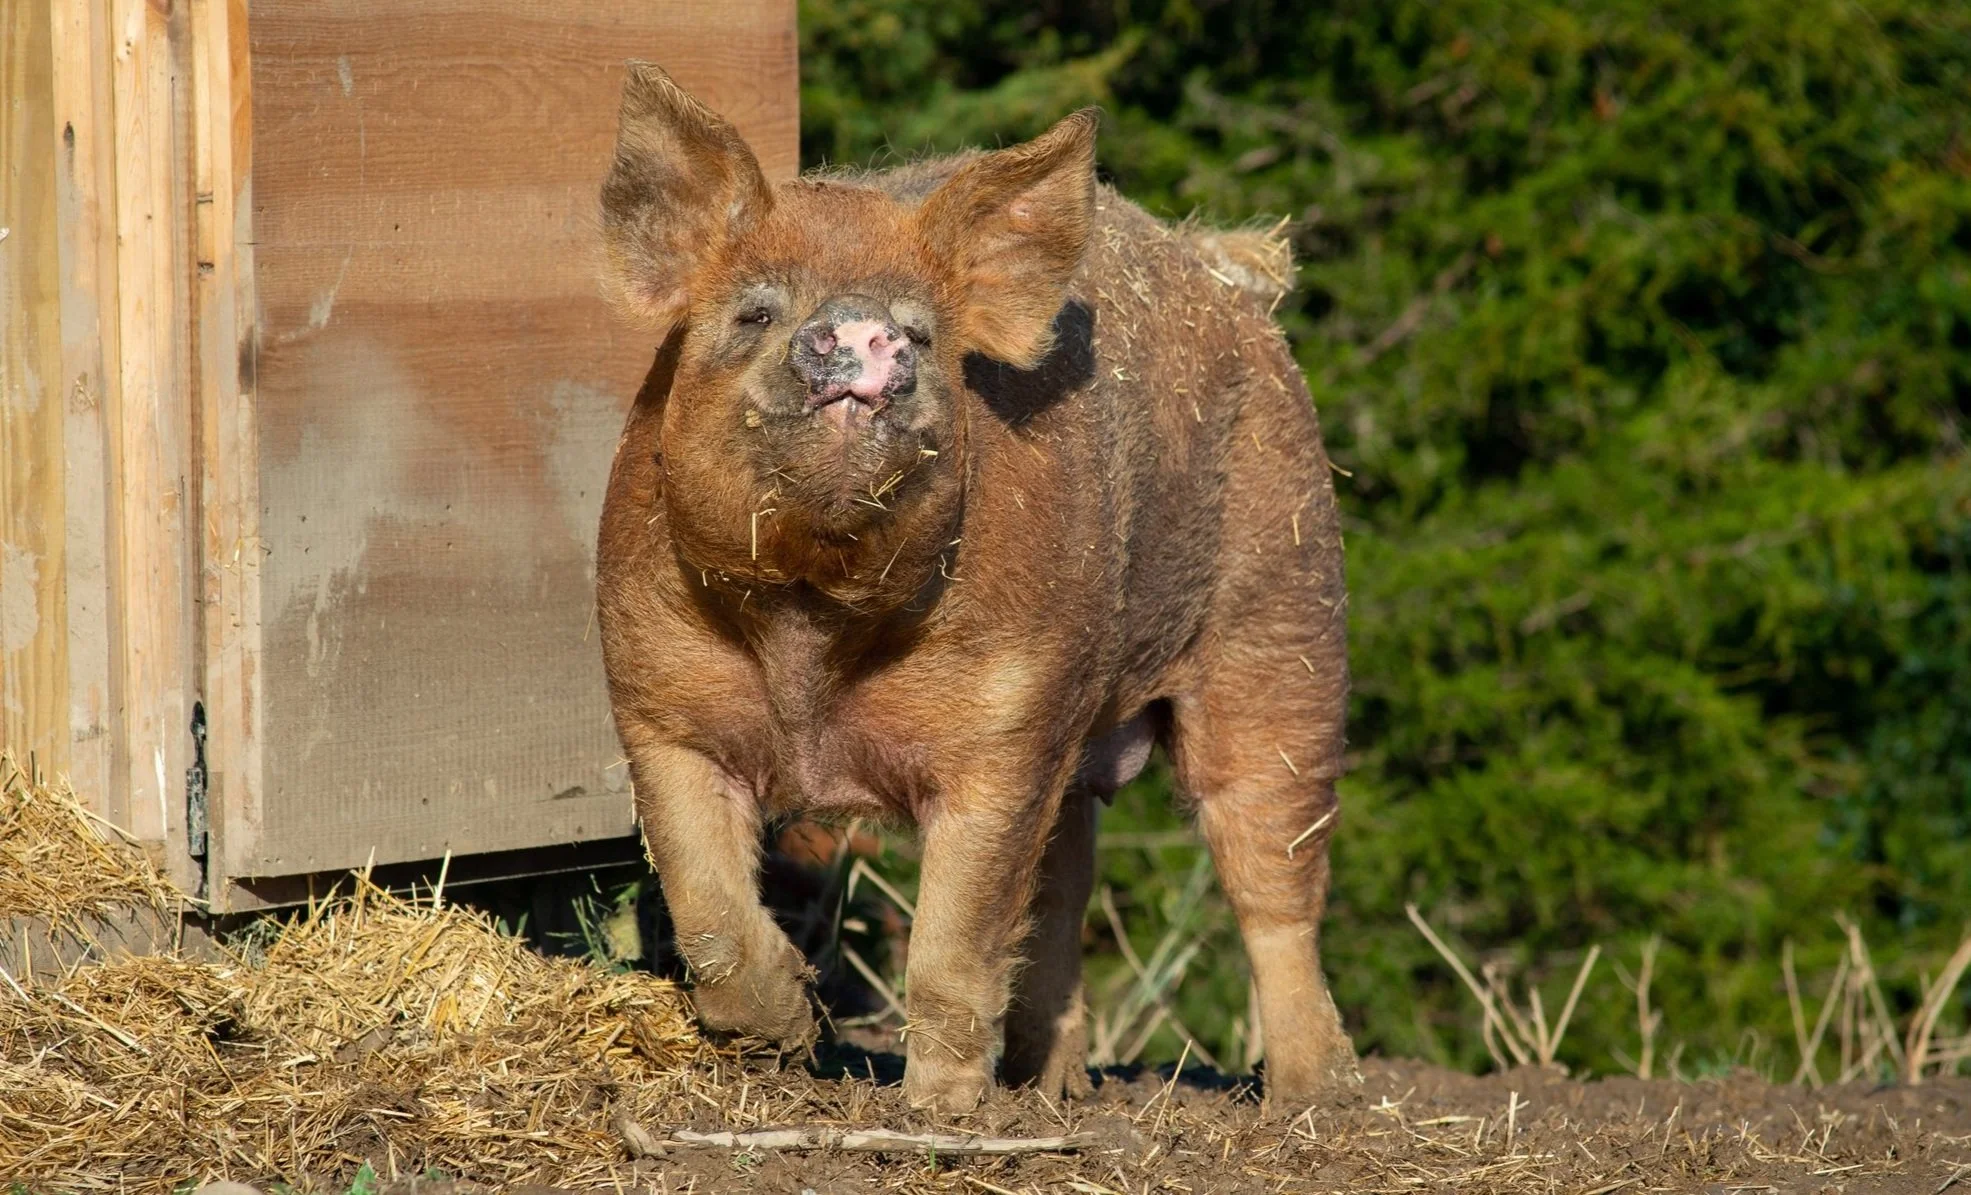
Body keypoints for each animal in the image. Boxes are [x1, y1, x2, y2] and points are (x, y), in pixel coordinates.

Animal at [594, 62, 1357, 1112]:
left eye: (921, 331)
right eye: (755, 311)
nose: (862, 326)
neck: (809, 623)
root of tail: (1226, 274)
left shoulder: (1006, 734)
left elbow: (953, 944)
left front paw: (937, 1111)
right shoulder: (654, 704)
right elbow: (705, 906)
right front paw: (788, 1032)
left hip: (1285, 621)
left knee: (1270, 872)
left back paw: (1309, 1098)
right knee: (1066, 885)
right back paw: (1055, 1088)